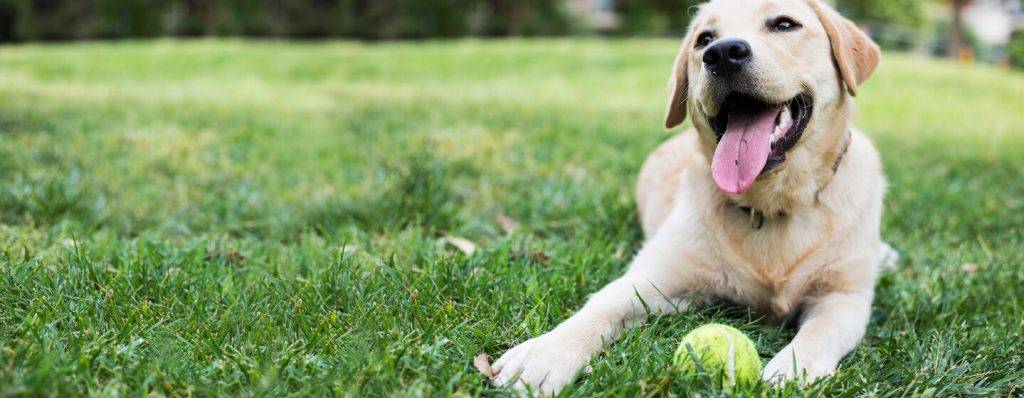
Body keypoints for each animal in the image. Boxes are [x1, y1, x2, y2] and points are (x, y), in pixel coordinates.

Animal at [491, 0, 884, 392]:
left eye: (785, 24)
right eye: (704, 39)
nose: (722, 53)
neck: (769, 204)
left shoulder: (844, 297)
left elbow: (821, 331)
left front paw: (794, 369)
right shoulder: (656, 276)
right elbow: (602, 306)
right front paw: (545, 354)